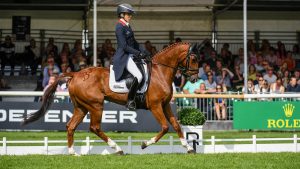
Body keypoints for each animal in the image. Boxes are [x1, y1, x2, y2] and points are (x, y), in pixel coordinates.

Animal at [23, 42, 202, 154]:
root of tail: (75, 74)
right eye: (193, 59)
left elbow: (176, 125)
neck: (160, 72)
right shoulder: (155, 106)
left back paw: (73, 153)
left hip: (81, 107)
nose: (194, 79)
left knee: (71, 126)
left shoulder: (165, 105)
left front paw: (189, 148)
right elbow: (165, 127)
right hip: (96, 105)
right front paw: (144, 144)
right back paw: (117, 149)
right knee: (95, 127)